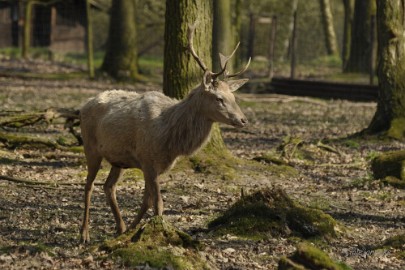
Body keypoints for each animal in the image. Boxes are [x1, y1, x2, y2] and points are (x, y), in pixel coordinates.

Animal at [78, 22, 249, 244]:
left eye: (234, 97)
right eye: (219, 98)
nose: (243, 120)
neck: (170, 140)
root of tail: (83, 105)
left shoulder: (149, 164)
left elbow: (147, 200)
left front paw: (131, 230)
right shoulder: (147, 159)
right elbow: (158, 203)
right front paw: (156, 235)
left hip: (119, 159)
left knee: (109, 187)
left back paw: (120, 227)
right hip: (91, 147)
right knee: (88, 185)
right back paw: (84, 234)